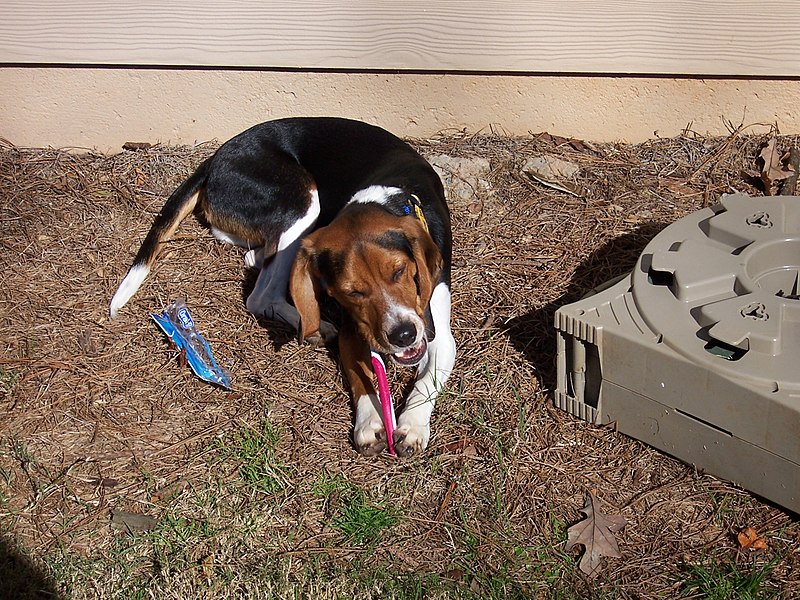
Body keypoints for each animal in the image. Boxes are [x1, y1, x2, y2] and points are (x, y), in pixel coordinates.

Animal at [109, 116, 454, 454]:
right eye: (352, 291)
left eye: (400, 271)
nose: (403, 335)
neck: (387, 199)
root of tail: (214, 159)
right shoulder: (353, 332)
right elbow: (362, 379)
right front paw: (370, 423)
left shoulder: (438, 335)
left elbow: (426, 380)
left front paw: (412, 426)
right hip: (301, 204)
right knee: (261, 296)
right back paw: (314, 325)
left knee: (250, 254)